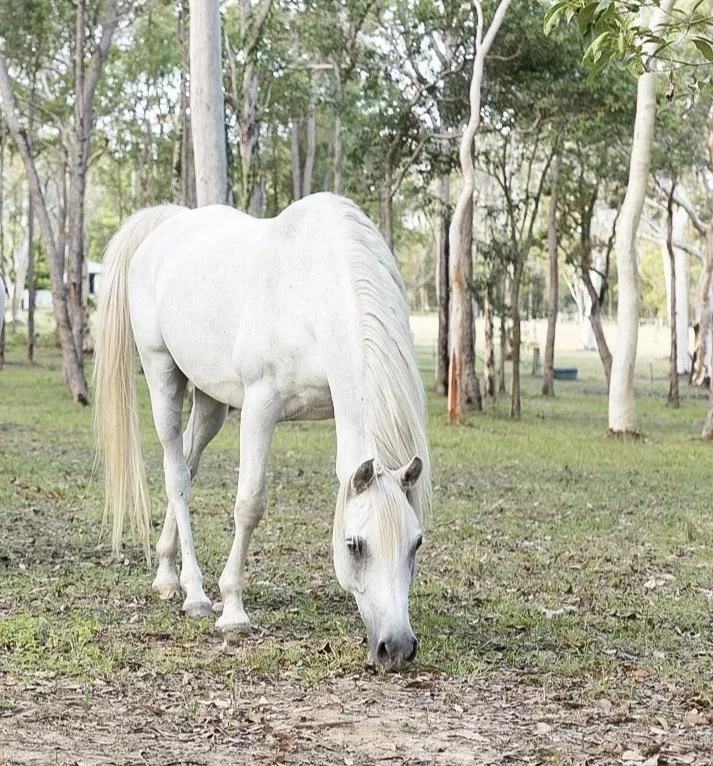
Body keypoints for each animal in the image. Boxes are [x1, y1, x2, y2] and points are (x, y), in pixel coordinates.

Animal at [93, 193, 431, 670]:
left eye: (415, 543)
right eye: (354, 545)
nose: (397, 648)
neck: (312, 291)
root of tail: (168, 224)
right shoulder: (259, 406)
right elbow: (249, 503)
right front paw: (233, 610)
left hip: (212, 402)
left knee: (189, 466)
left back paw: (167, 575)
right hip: (162, 375)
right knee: (176, 474)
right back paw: (195, 594)